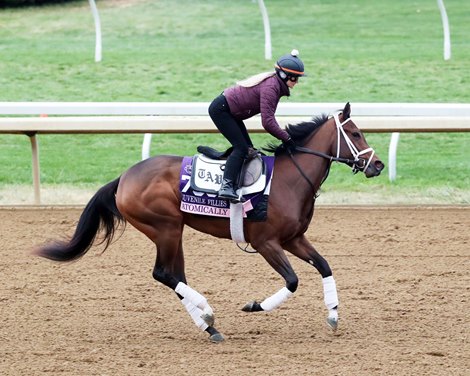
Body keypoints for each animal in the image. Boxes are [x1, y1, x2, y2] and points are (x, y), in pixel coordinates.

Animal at [35, 101, 384, 342]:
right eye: (355, 133)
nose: (377, 164)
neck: (290, 180)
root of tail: (124, 178)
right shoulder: (266, 243)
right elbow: (293, 281)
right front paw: (254, 306)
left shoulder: (293, 239)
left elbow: (324, 266)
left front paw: (333, 315)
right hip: (165, 227)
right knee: (163, 273)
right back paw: (207, 311)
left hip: (172, 231)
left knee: (175, 276)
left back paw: (208, 326)